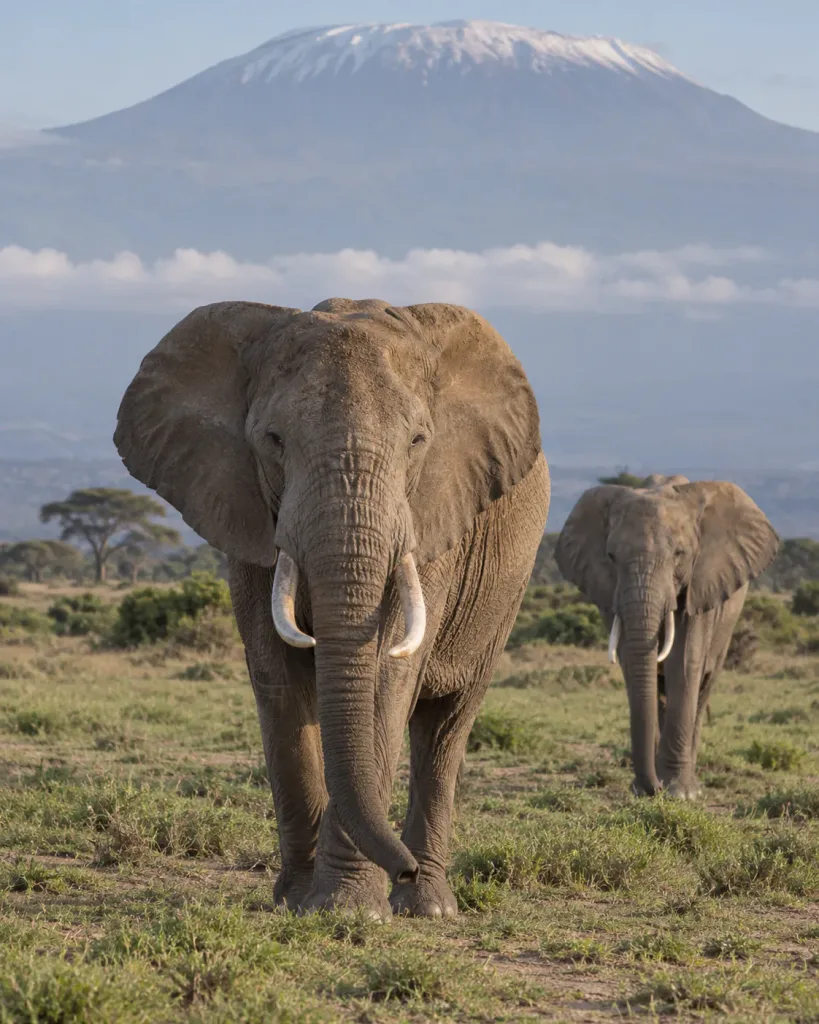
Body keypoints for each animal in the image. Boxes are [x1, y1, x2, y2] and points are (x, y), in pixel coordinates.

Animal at [114, 297, 550, 918]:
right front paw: (299, 901)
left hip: (508, 587)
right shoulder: (248, 514)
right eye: (273, 439)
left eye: (418, 441)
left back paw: (428, 907)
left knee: (446, 725)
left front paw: (350, 910)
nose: (401, 866)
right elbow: (277, 680)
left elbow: (384, 683)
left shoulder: (430, 518)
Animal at [555, 475, 778, 799]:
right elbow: (631, 660)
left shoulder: (702, 583)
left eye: (678, 555)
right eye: (611, 556)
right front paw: (649, 789)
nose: (652, 790)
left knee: (703, 684)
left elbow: (684, 663)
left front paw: (680, 795)